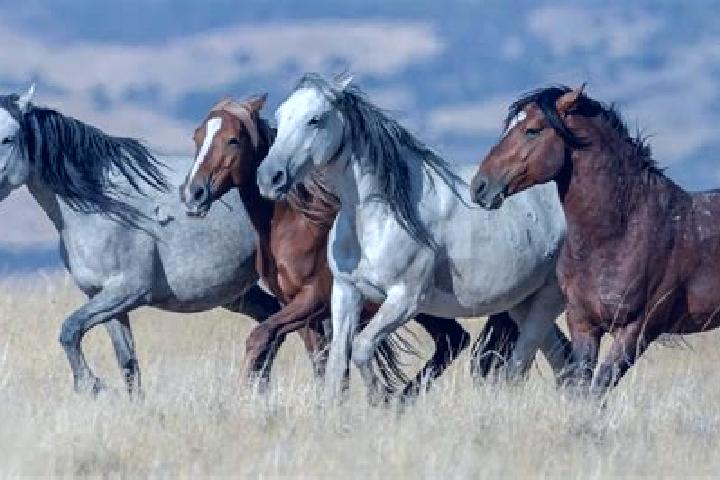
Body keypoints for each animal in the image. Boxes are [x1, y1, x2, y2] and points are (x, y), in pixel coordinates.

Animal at [0, 85, 297, 396]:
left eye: (8, 138)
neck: (102, 207)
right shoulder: (103, 299)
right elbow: (127, 363)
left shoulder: (128, 291)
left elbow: (69, 330)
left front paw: (90, 384)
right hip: (236, 293)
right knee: (270, 318)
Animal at [178, 95, 524, 397]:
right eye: (197, 137)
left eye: (233, 139)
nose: (193, 194)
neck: (294, 226)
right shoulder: (302, 310)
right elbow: (319, 361)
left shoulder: (313, 299)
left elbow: (261, 336)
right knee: (454, 340)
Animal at [255, 73, 572, 399]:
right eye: (279, 117)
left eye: (315, 119)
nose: (270, 178)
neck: (378, 218)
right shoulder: (345, 293)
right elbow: (336, 365)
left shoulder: (404, 299)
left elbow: (362, 348)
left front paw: (382, 400)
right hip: (522, 302)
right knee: (560, 358)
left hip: (548, 299)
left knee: (528, 359)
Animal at [472, 85, 720, 396]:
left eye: (532, 130)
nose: (479, 186)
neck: (621, 234)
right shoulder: (583, 323)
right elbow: (582, 387)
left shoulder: (637, 329)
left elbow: (598, 388)